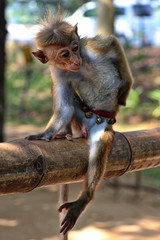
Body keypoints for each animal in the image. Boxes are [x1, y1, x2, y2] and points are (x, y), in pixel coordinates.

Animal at [25, 10, 134, 234]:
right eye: (64, 54)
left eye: (75, 48)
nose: (75, 59)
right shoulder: (58, 71)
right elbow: (65, 107)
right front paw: (45, 134)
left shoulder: (92, 49)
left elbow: (113, 42)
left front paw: (125, 90)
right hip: (82, 116)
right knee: (69, 107)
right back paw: (63, 133)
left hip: (102, 124)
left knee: (100, 143)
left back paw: (84, 198)